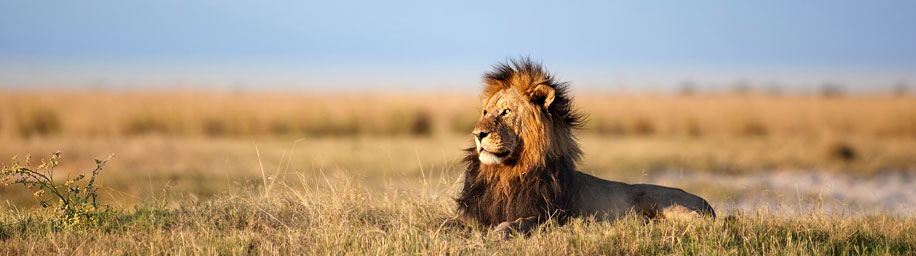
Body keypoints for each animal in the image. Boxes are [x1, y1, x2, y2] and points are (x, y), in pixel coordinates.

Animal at [458, 58, 716, 238]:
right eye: (485, 112)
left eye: (506, 111)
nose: (477, 134)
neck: (506, 174)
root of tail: (708, 204)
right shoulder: (473, 215)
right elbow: (452, 222)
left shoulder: (549, 217)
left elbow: (518, 222)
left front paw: (500, 232)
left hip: (668, 204)